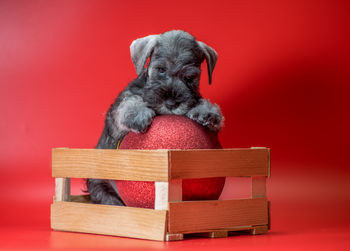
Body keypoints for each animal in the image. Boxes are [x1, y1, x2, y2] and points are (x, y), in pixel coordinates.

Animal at [87, 29, 224, 206]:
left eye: (189, 77)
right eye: (161, 69)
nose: (172, 103)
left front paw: (207, 111)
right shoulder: (116, 124)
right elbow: (129, 102)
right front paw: (137, 114)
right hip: (100, 186)